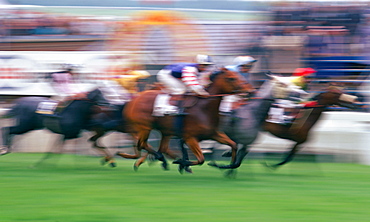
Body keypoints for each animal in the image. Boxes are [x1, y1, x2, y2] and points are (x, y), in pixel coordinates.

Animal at [115, 67, 254, 170]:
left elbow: (234, 146)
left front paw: (224, 163)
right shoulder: (190, 137)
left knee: (158, 147)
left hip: (165, 131)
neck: (204, 109)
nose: (250, 90)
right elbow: (201, 159)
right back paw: (159, 158)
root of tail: (134, 99)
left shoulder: (213, 133)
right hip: (145, 127)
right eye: (232, 78)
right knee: (143, 144)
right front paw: (182, 163)